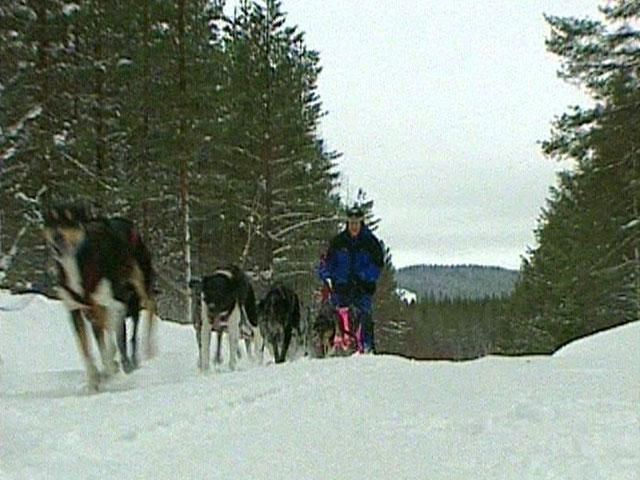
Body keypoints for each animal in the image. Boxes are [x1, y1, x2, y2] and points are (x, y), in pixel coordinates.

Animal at [42, 202, 156, 390]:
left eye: (71, 219)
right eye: (52, 221)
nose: (57, 237)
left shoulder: (115, 304)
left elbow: (109, 343)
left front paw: (109, 370)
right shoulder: (75, 310)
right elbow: (86, 351)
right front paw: (94, 379)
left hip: (140, 285)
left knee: (151, 307)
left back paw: (148, 349)